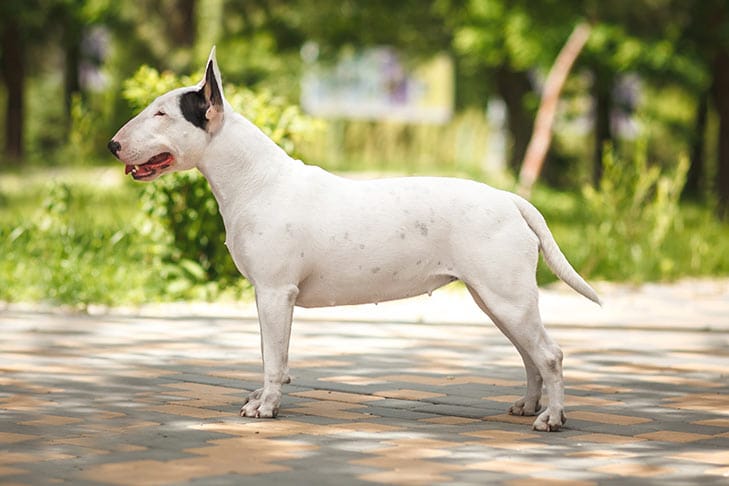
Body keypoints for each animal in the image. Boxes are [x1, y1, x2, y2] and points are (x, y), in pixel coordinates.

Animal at [108, 47, 596, 430]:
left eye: (162, 113)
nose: (112, 145)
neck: (256, 181)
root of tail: (510, 198)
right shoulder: (265, 294)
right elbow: (269, 353)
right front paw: (259, 397)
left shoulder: (275, 293)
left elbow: (274, 359)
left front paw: (265, 407)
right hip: (495, 299)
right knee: (530, 355)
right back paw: (528, 406)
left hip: (506, 297)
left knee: (549, 355)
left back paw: (552, 418)